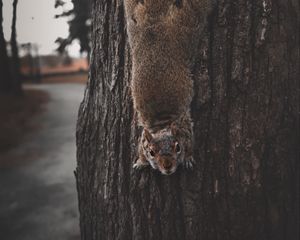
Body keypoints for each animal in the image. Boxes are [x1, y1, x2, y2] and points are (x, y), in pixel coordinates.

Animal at [124, 0, 213, 176]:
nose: (167, 167)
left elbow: (191, 145)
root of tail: (155, 19)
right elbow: (140, 149)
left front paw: (188, 158)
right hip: (135, 24)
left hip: (187, 26)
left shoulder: (186, 131)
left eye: (177, 147)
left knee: (198, 8)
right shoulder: (143, 139)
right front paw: (140, 162)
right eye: (152, 152)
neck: (162, 123)